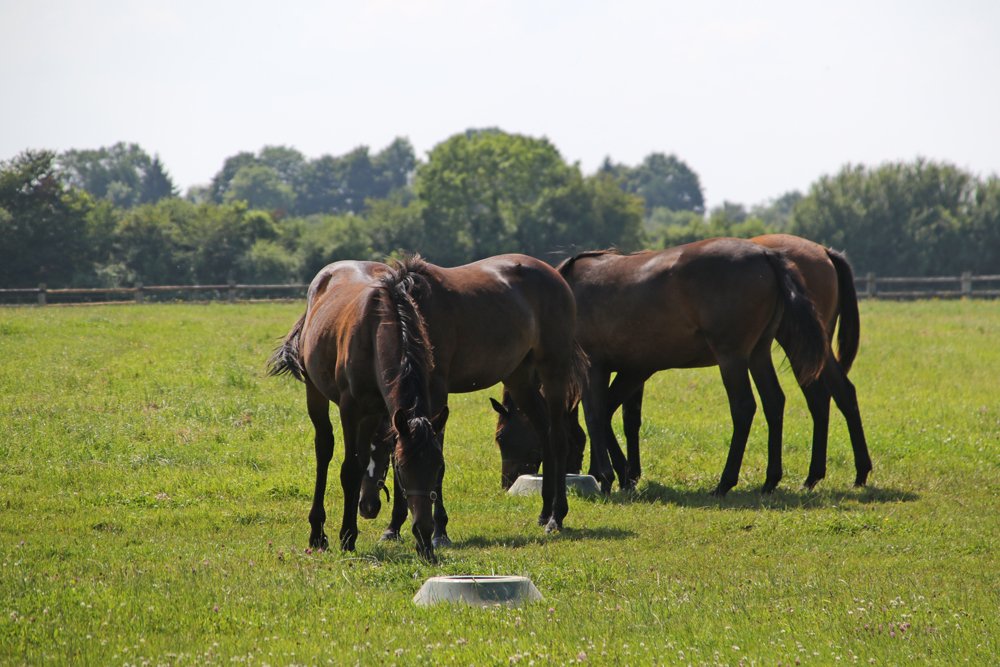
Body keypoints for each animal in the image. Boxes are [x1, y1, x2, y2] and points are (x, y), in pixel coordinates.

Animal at [271, 254, 587, 561]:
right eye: (399, 468)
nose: (368, 507)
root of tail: (556, 275)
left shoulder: (433, 392)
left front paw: (437, 531)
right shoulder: (364, 407)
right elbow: (355, 466)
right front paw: (387, 529)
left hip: (553, 370)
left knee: (557, 437)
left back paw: (555, 517)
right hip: (519, 378)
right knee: (324, 448)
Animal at [493, 234, 873, 493]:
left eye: (502, 437)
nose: (507, 481)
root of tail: (769, 255)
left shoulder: (597, 367)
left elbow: (596, 414)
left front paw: (607, 474)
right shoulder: (634, 368)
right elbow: (621, 416)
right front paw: (626, 472)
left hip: (735, 356)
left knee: (748, 407)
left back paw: (727, 481)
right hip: (759, 352)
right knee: (780, 402)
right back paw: (776, 478)